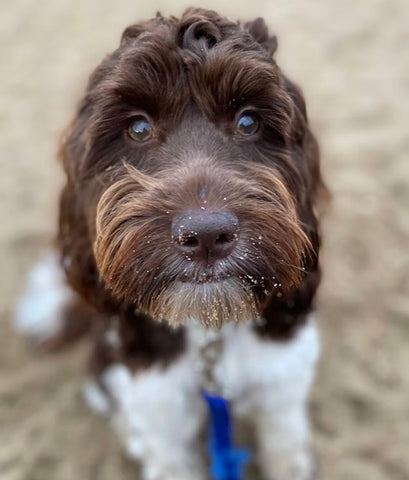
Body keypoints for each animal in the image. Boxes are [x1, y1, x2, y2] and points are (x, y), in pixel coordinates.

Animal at [15, 7, 326, 480]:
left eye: (249, 121)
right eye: (138, 128)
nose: (206, 235)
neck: (210, 333)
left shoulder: (283, 378)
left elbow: (285, 444)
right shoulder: (156, 398)